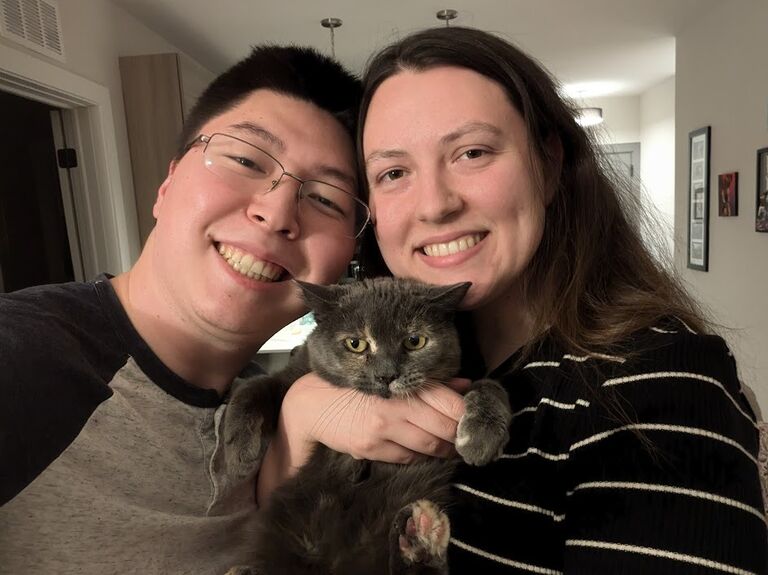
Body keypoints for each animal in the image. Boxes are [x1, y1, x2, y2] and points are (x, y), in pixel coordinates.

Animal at [222, 276, 510, 572]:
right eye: (355, 344)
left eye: (415, 341)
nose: (387, 375)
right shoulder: (294, 374)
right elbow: (255, 387)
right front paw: (237, 457)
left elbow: (489, 385)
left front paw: (481, 438)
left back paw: (419, 537)